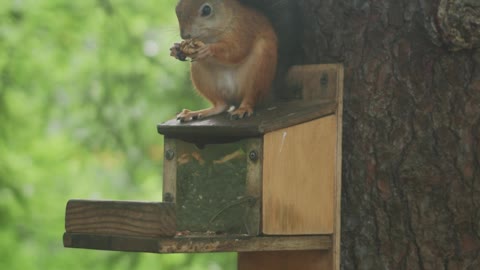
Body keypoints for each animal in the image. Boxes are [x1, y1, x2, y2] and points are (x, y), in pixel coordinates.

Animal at [171, 0, 300, 121]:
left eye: (206, 10)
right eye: (177, 9)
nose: (184, 35)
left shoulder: (243, 28)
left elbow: (236, 50)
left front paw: (208, 49)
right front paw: (177, 49)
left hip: (259, 70)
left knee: (250, 97)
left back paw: (243, 109)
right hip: (201, 73)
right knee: (222, 105)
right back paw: (197, 112)